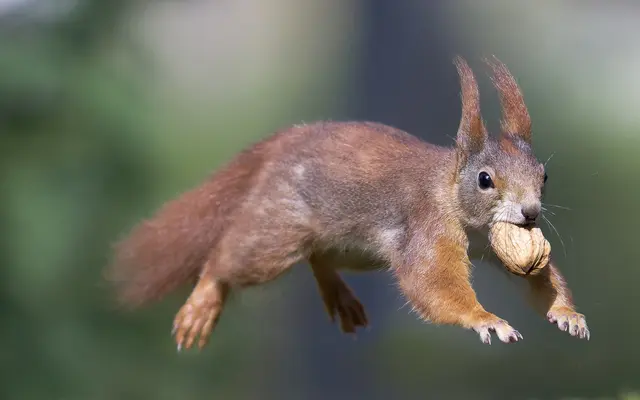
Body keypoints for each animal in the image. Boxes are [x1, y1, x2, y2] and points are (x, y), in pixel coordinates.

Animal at [106, 56, 590, 351]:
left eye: (544, 176)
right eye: (485, 180)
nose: (531, 212)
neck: (452, 196)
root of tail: (283, 143)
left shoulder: (498, 243)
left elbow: (542, 278)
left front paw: (567, 313)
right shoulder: (427, 228)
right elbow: (432, 285)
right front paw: (484, 318)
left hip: (356, 249)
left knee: (320, 257)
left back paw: (339, 294)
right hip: (277, 232)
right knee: (228, 259)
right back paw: (204, 300)